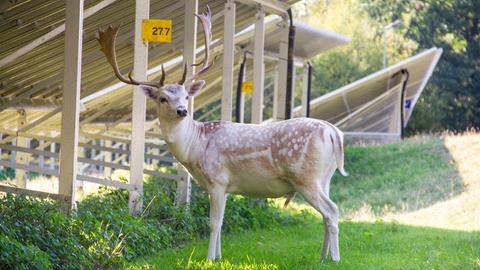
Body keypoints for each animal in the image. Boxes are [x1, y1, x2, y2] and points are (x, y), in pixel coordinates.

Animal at [97, 6, 346, 262]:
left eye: (186, 95)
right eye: (163, 98)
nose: (182, 110)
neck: (195, 147)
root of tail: (334, 133)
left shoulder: (217, 179)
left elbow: (214, 223)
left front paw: (208, 259)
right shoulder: (223, 186)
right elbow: (222, 221)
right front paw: (217, 256)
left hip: (306, 177)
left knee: (332, 211)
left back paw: (335, 258)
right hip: (325, 176)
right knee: (326, 214)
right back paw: (323, 257)